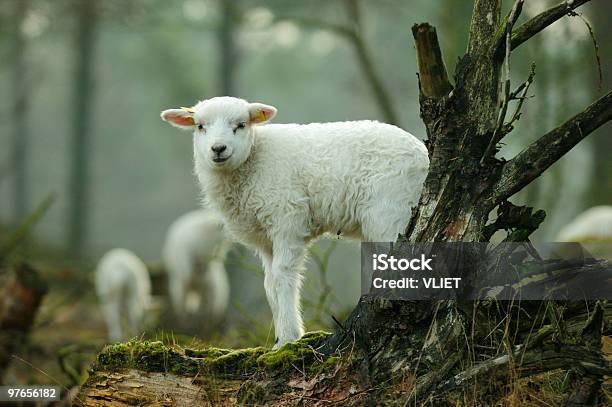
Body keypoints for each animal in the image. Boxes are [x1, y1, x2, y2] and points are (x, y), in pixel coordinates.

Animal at [163, 96, 430, 348]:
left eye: (241, 125)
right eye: (200, 126)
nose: (218, 148)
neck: (253, 161)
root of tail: (424, 154)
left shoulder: (287, 218)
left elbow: (283, 276)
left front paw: (289, 337)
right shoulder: (265, 238)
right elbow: (270, 284)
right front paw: (279, 338)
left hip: (390, 212)